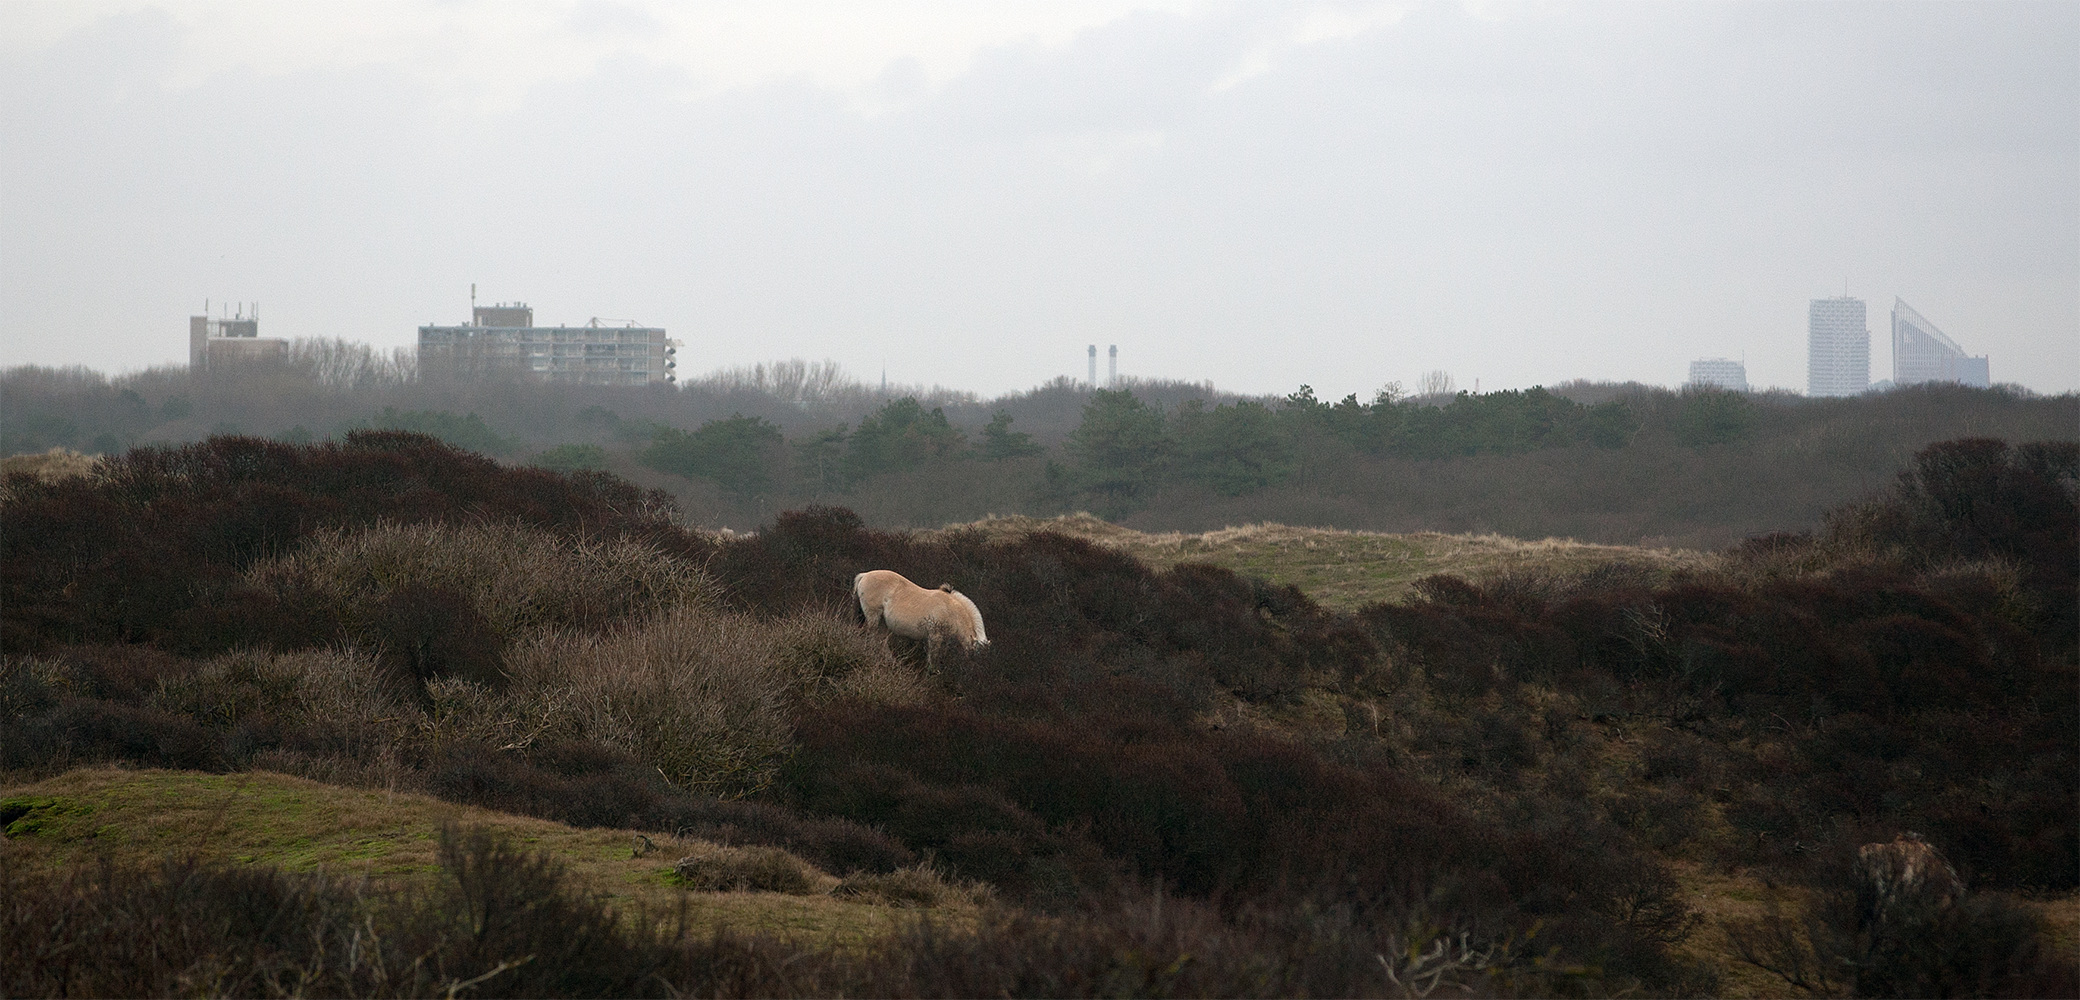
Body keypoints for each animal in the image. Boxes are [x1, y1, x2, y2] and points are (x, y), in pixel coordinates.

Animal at [853, 569, 988, 669]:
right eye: (975, 653)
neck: (951, 611)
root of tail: (864, 575)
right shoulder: (935, 636)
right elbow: (933, 656)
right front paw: (933, 671)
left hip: (883, 623)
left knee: (881, 640)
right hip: (873, 616)